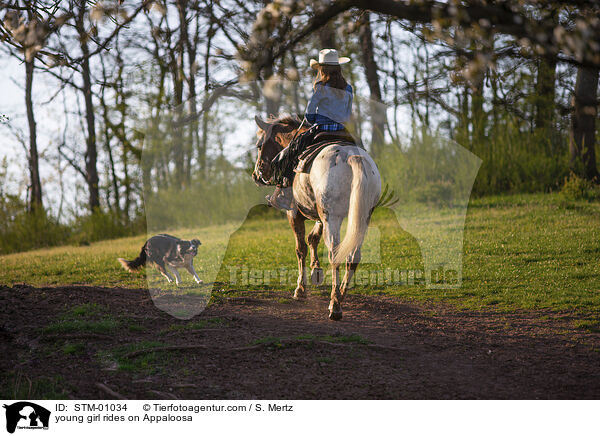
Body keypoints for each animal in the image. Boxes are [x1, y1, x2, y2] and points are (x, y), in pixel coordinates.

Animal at [251, 116, 382, 320]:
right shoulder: (320, 216)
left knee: (335, 254)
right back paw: (341, 293)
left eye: (258, 145)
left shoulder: (294, 214)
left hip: (332, 217)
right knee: (353, 256)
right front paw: (316, 271)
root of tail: (351, 157)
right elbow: (313, 238)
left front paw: (300, 289)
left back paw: (335, 305)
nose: (256, 174)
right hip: (361, 217)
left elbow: (301, 249)